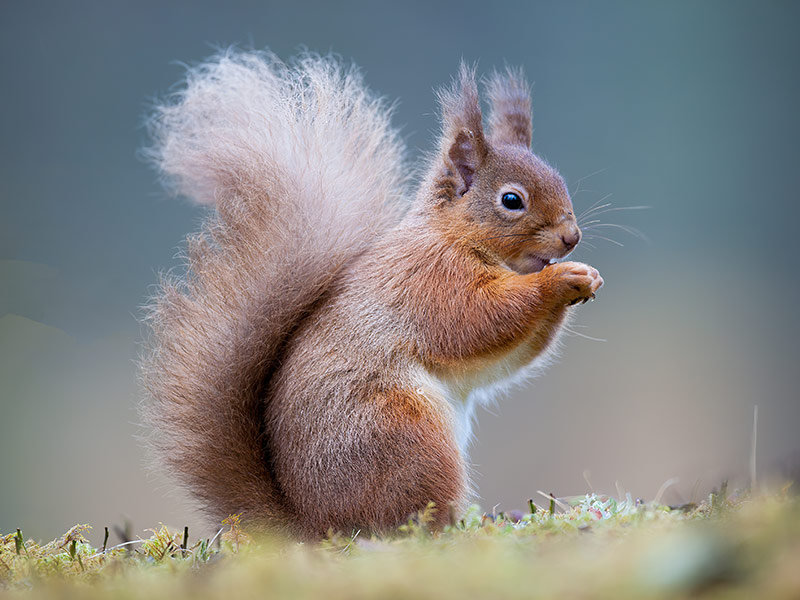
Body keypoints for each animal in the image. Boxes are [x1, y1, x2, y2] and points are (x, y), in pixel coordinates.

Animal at [140, 49, 603, 540]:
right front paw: (562, 279)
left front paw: (587, 277)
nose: (571, 238)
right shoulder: (431, 281)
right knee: (403, 522)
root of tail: (313, 526)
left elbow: (505, 357)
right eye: (512, 200)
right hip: (404, 434)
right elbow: (479, 320)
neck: (453, 236)